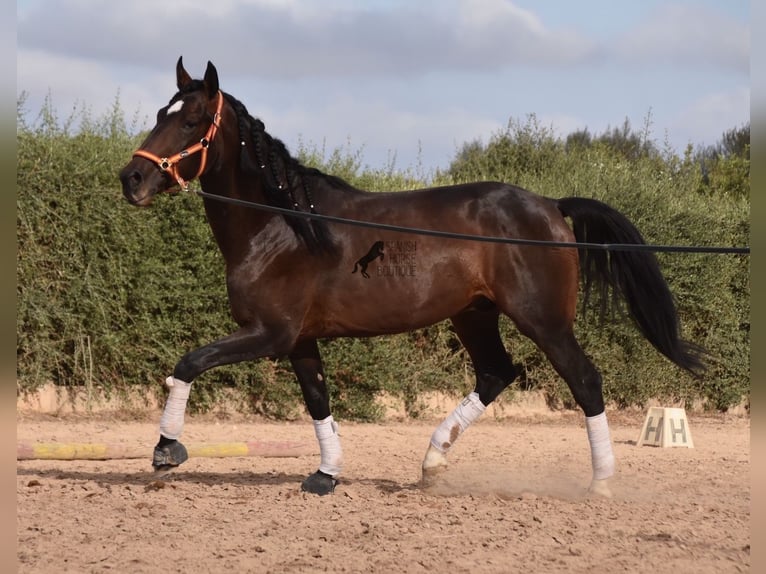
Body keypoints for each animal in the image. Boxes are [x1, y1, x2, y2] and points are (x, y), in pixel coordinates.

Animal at [118, 57, 708, 500]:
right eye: (161, 112)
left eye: (191, 121)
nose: (132, 178)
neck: (282, 226)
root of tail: (550, 205)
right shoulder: (300, 339)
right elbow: (318, 399)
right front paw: (325, 476)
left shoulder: (271, 333)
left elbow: (188, 362)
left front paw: (166, 450)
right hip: (474, 316)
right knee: (496, 373)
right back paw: (431, 464)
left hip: (543, 321)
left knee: (584, 380)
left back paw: (601, 483)